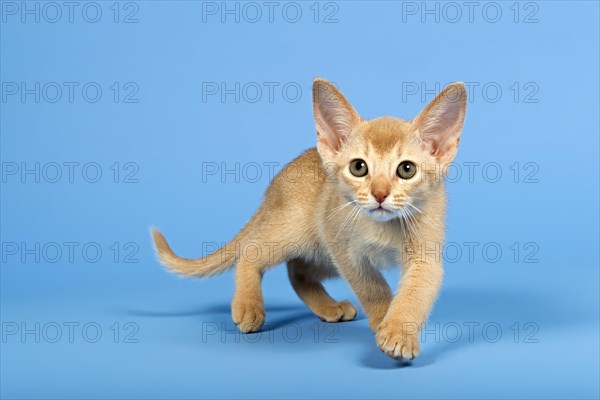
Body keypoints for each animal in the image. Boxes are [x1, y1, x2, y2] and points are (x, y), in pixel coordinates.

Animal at [152, 78, 466, 360]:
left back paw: (328, 307)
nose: (379, 194)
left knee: (297, 270)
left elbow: (415, 293)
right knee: (251, 252)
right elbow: (372, 287)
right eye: (358, 167)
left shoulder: (425, 255)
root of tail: (276, 185)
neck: (382, 227)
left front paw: (399, 331)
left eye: (406, 170)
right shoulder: (346, 252)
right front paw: (382, 318)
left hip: (322, 252)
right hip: (297, 233)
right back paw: (249, 306)